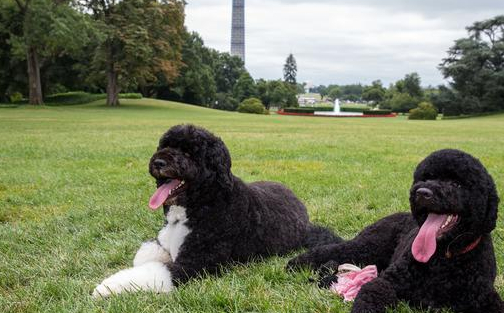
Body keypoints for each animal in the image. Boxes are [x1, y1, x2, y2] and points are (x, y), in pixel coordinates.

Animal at [92, 123, 340, 296]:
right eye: (165, 146)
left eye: (189, 153)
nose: (158, 162)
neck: (201, 204)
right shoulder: (163, 241)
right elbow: (145, 254)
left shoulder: (196, 263)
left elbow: (154, 271)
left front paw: (107, 287)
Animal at [286, 149, 502, 312]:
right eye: (426, 178)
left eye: (456, 183)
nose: (422, 192)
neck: (445, 257)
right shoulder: (387, 282)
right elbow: (371, 294)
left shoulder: (484, 297)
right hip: (367, 246)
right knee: (332, 250)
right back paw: (296, 263)